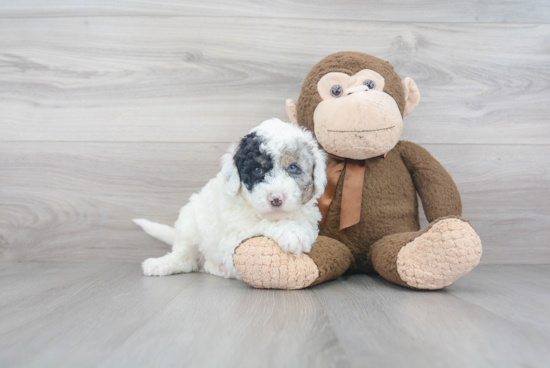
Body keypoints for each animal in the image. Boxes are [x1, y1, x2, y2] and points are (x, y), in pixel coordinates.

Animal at [135, 118, 328, 278]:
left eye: (293, 168)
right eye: (257, 170)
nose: (276, 199)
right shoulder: (232, 240)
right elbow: (260, 226)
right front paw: (291, 232)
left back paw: (220, 269)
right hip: (188, 223)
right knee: (185, 258)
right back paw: (161, 264)